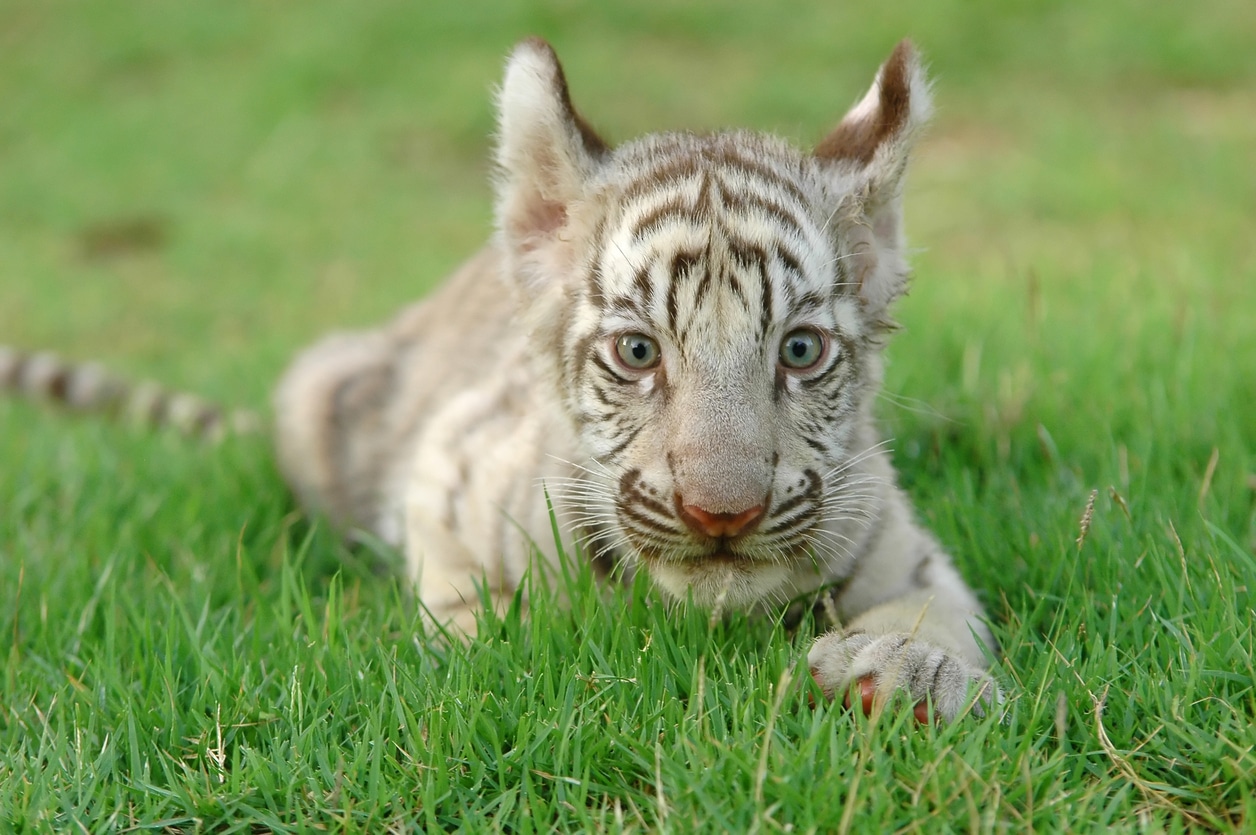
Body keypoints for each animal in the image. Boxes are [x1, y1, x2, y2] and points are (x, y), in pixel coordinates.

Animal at [2, 38, 999, 722]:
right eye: (638, 353)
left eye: (799, 351)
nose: (723, 515)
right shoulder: (446, 463)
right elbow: (459, 599)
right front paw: (487, 650)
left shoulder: (901, 540)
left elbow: (945, 611)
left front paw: (909, 672)